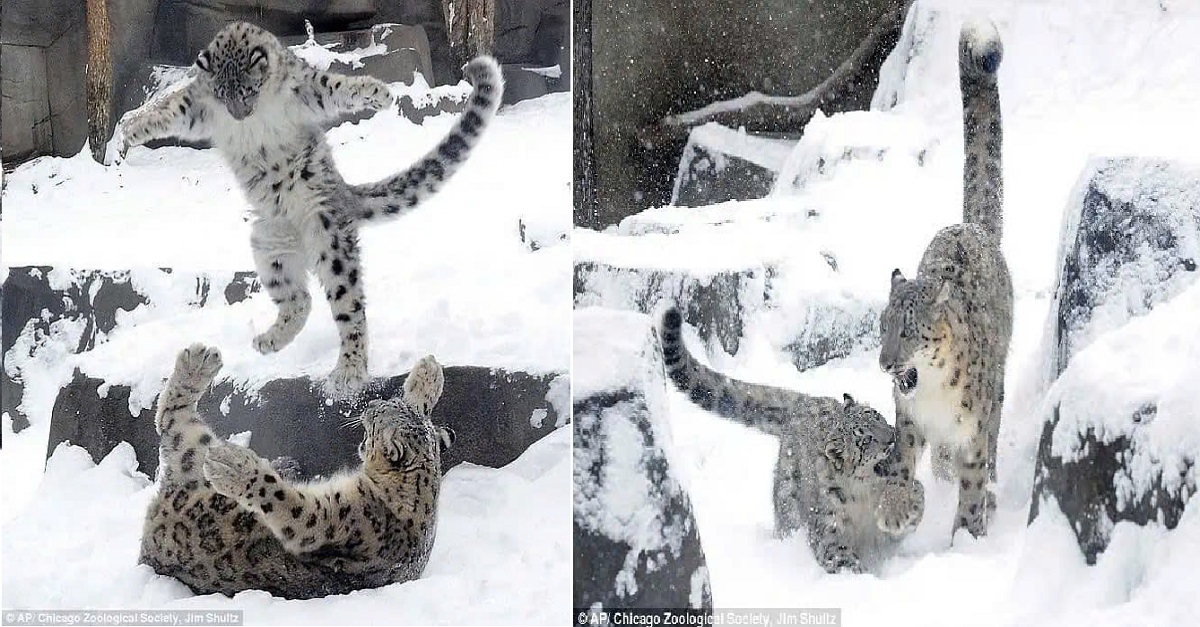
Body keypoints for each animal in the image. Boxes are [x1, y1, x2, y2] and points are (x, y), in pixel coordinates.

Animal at [125, 24, 506, 398]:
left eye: (248, 90)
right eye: (222, 93)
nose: (238, 114)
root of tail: (343, 195)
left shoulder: (305, 87)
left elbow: (335, 86)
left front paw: (378, 92)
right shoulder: (198, 105)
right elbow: (171, 108)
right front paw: (133, 127)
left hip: (329, 239)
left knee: (350, 309)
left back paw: (348, 372)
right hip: (268, 246)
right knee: (299, 298)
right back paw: (269, 340)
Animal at [140, 343, 456, 598]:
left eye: (378, 417)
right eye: (389, 405)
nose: (371, 405)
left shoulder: (333, 520)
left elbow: (283, 500)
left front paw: (239, 470)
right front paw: (428, 373)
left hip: (192, 454)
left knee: (171, 421)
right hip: (191, 454)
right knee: (169, 419)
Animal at [878, 19, 1008, 535]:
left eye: (910, 331)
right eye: (882, 327)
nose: (885, 363)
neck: (931, 393)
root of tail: (970, 227)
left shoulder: (972, 430)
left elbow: (972, 480)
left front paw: (968, 534)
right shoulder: (908, 420)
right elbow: (900, 459)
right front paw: (894, 509)